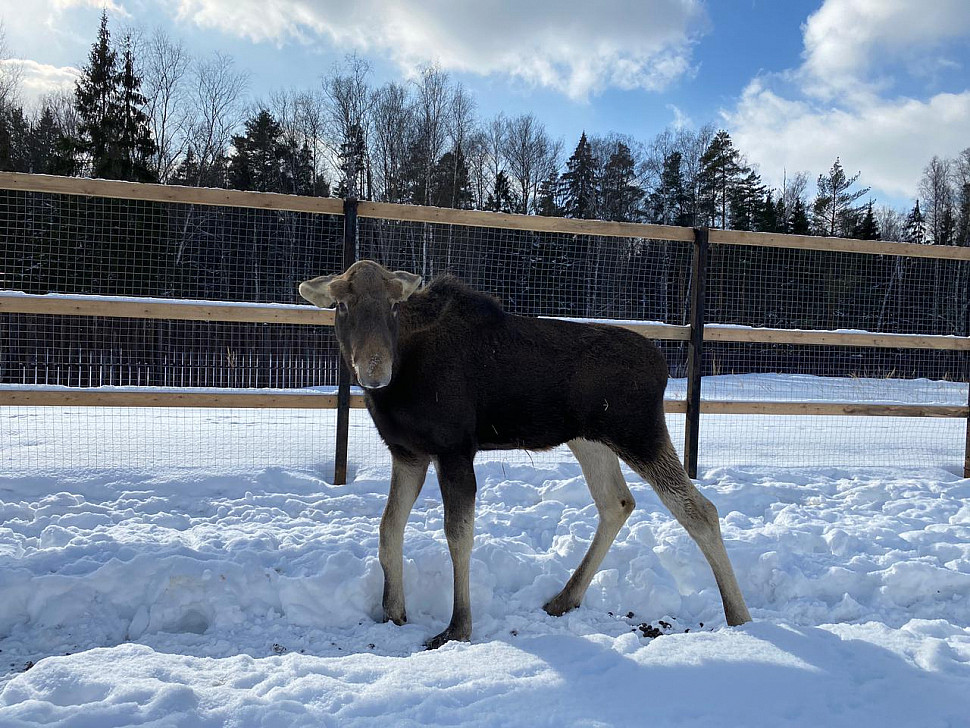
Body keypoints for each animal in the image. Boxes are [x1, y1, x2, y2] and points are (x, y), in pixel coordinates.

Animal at [298, 260, 752, 648]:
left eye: (393, 305)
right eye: (342, 305)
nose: (375, 370)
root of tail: (663, 368)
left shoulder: (454, 449)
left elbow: (458, 534)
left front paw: (458, 627)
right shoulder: (408, 452)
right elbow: (388, 527)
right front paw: (392, 611)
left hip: (638, 432)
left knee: (699, 509)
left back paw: (740, 615)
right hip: (590, 439)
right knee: (617, 502)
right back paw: (564, 598)